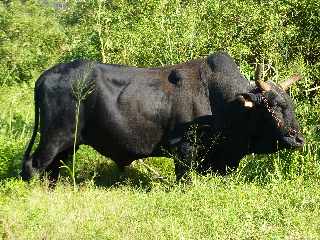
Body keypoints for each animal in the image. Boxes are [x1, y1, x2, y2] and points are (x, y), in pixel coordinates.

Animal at [21, 52, 304, 180]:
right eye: (273, 105)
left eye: (290, 103)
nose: (299, 139)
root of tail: (45, 75)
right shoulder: (184, 150)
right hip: (54, 138)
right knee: (34, 166)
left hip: (68, 144)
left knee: (53, 169)